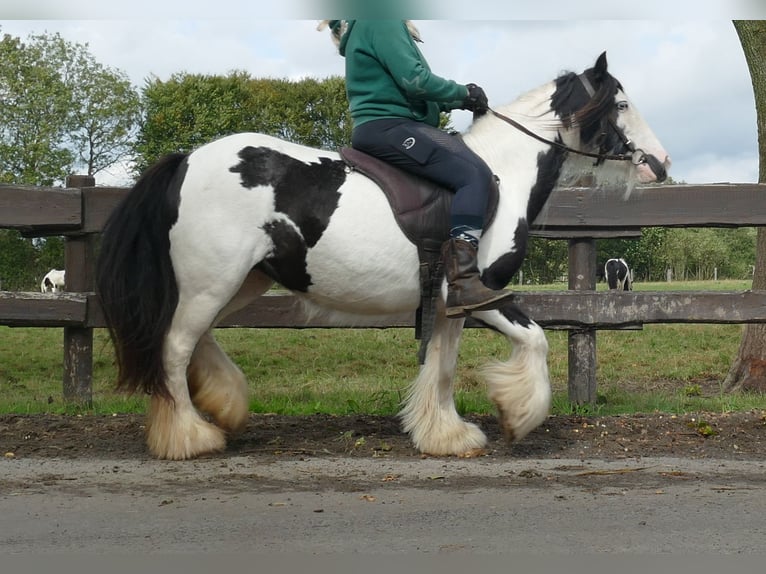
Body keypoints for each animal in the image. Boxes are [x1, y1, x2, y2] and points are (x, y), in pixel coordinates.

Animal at [97, 51, 672, 462]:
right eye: (621, 104)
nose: (661, 163)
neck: (502, 172)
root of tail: (186, 159)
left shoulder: (449, 306)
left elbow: (443, 368)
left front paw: (446, 435)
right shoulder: (482, 294)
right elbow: (534, 341)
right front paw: (518, 416)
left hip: (239, 282)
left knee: (195, 341)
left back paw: (225, 405)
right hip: (212, 282)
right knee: (175, 347)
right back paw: (188, 436)